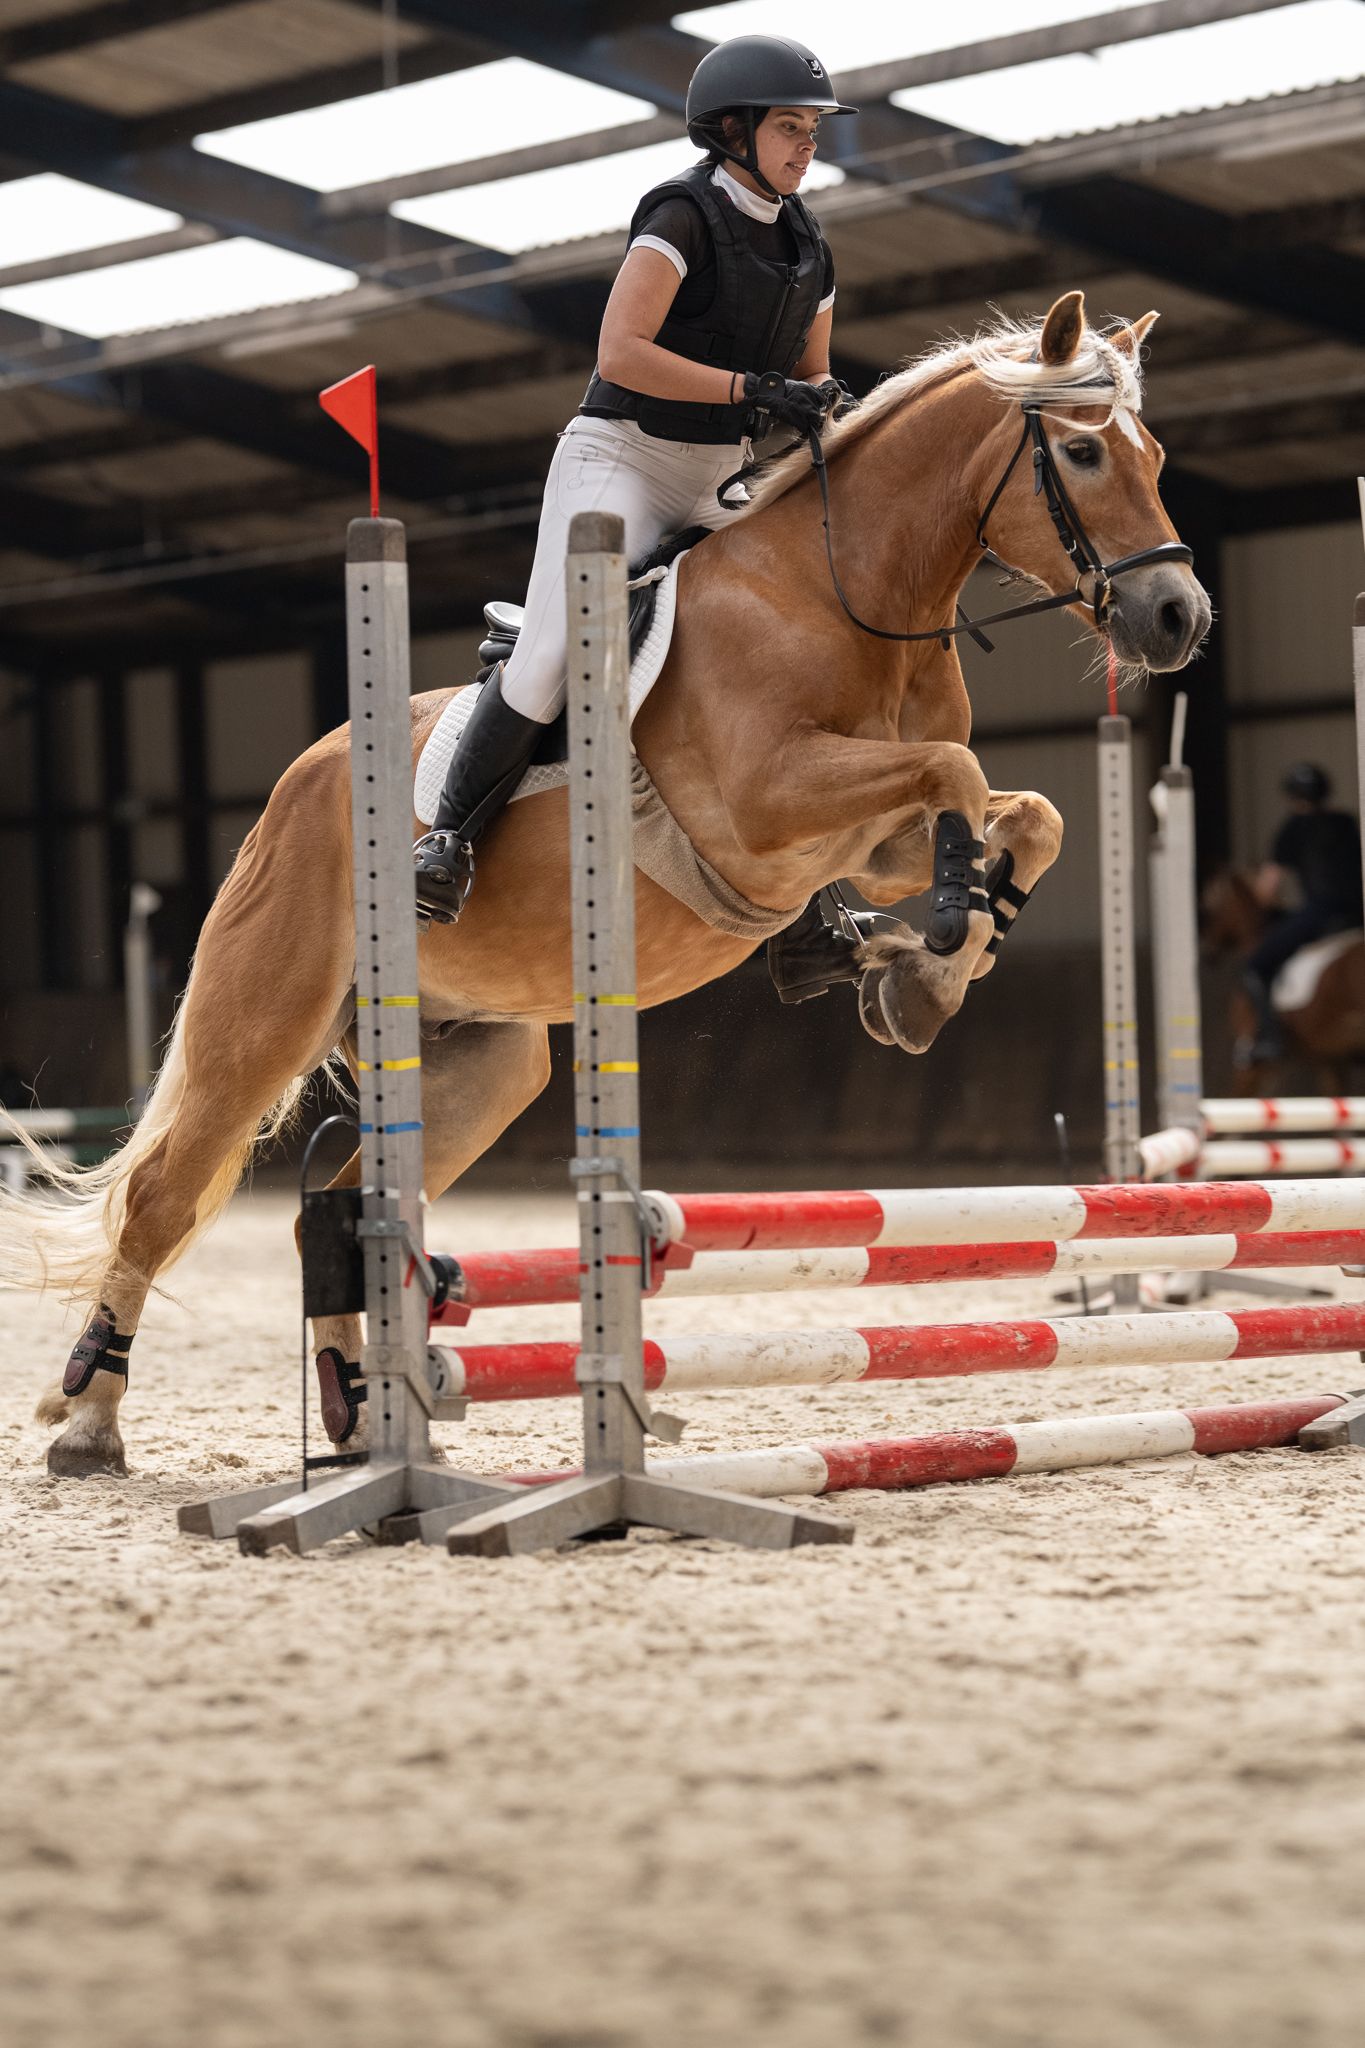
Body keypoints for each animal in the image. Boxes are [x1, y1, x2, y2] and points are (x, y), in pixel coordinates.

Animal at [2, 290, 1210, 1478]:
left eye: (1152, 452)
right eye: (1083, 451)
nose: (1179, 618)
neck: (845, 596)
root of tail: (288, 793)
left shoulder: (868, 842)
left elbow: (1028, 815)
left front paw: (924, 972)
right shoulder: (768, 803)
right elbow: (957, 771)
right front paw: (928, 957)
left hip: (484, 1064)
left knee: (338, 1208)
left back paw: (358, 1414)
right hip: (264, 1020)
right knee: (162, 1194)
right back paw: (93, 1419)